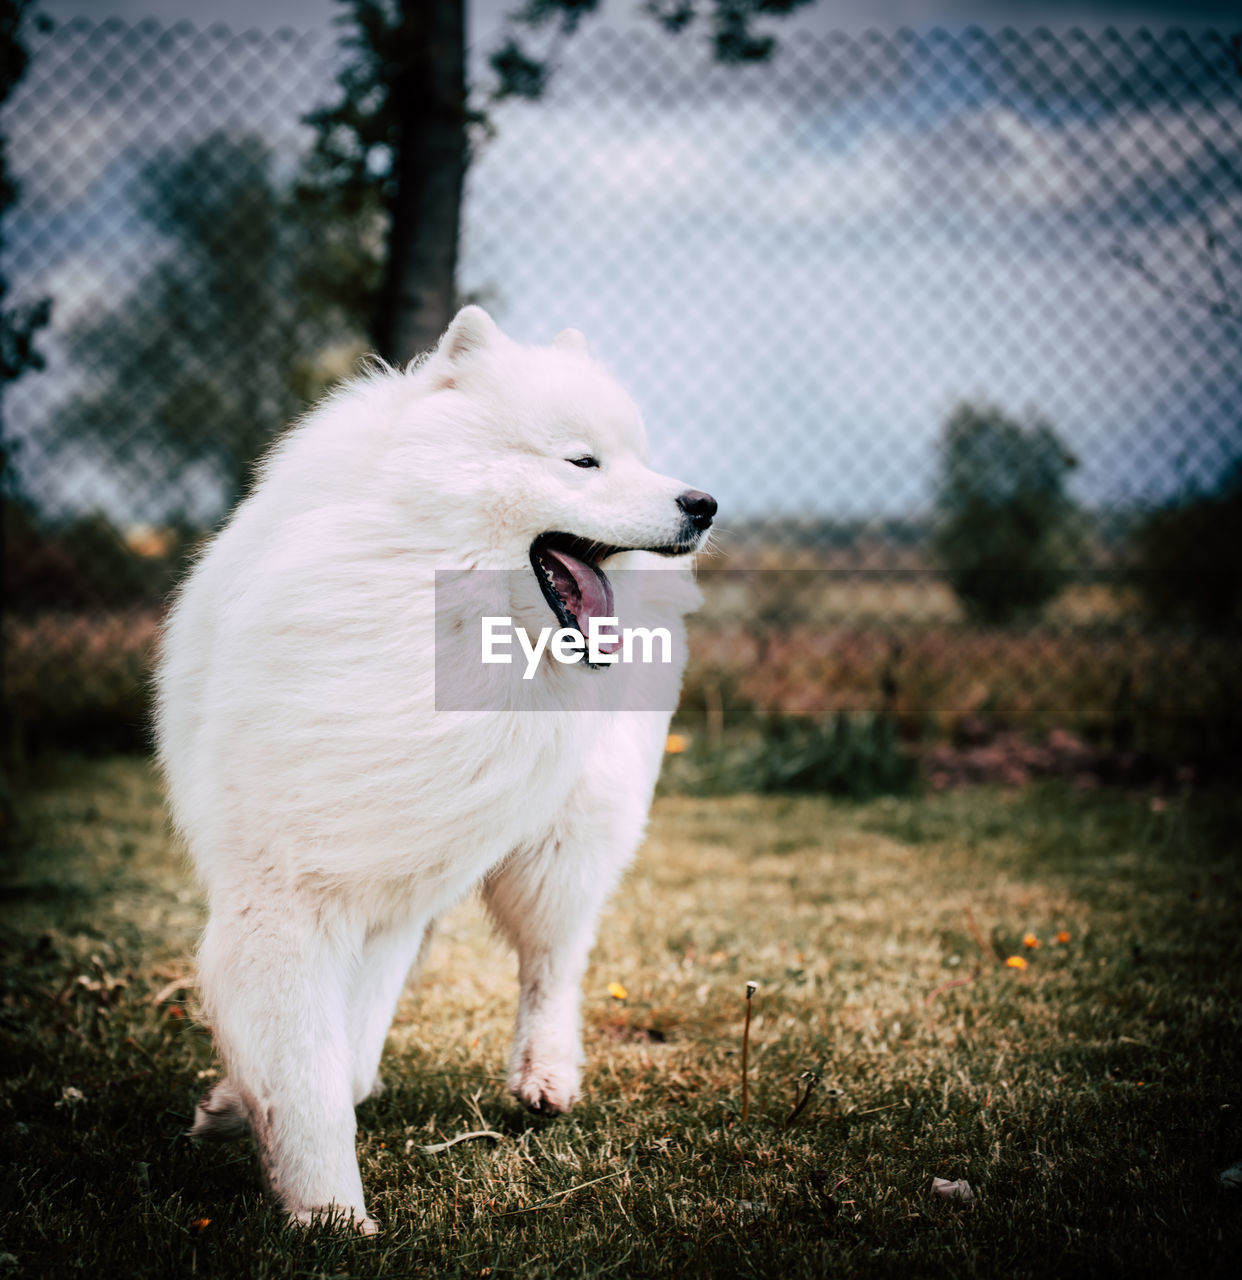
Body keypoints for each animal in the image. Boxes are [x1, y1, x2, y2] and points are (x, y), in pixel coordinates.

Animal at [154, 307, 717, 1228]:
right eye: (582, 461)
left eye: (634, 455)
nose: (702, 504)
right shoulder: (309, 888)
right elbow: (311, 1062)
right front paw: (327, 1207)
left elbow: (326, 1065)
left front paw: (328, 1220)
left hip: (564, 840)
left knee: (553, 960)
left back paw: (545, 1074)